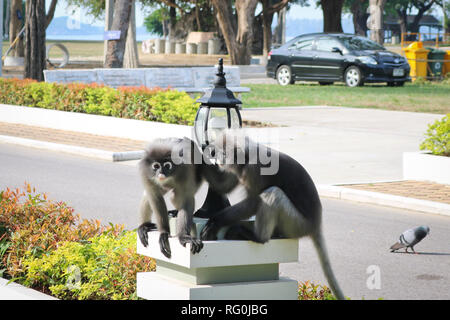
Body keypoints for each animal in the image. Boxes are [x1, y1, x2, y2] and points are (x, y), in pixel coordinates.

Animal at [202, 132, 346, 300]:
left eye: (220, 152)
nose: (212, 153)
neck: (248, 156)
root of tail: (316, 224)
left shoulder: (254, 169)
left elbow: (253, 203)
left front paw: (216, 221)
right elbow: (224, 185)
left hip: (296, 224)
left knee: (273, 193)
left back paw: (258, 237)